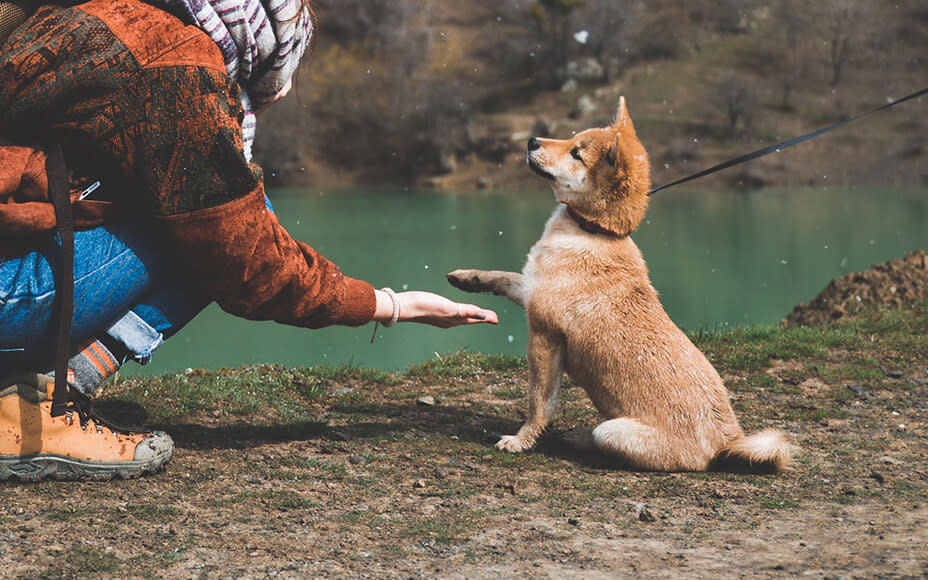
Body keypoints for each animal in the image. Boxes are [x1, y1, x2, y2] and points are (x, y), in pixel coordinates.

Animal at [450, 98, 792, 472]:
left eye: (576, 154)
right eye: (571, 139)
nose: (531, 141)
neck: (596, 230)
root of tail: (724, 445)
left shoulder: (544, 335)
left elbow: (539, 404)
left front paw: (521, 440)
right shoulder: (530, 288)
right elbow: (503, 276)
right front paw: (467, 278)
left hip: (612, 431)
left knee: (601, 440)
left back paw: (579, 437)